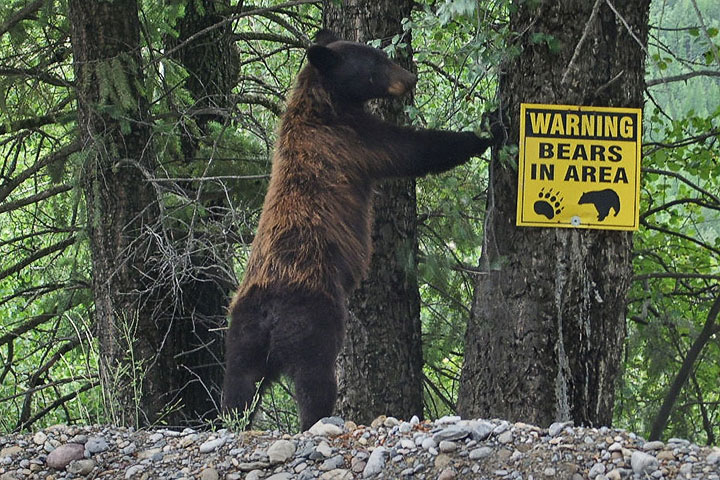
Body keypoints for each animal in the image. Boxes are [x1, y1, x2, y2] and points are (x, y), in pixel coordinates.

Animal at [222, 30, 504, 430]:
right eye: (376, 62)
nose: (410, 78)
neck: (322, 106)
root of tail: (270, 315)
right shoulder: (355, 140)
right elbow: (414, 149)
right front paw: (488, 128)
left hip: (242, 336)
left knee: (237, 389)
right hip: (312, 322)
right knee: (315, 381)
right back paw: (319, 419)